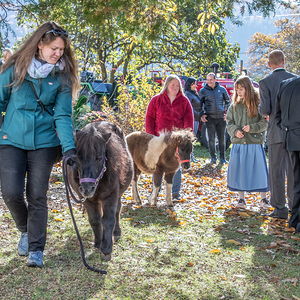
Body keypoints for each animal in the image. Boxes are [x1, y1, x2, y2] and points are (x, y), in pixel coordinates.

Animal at [68, 121, 134, 260]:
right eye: (78, 158)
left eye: (99, 158)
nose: (87, 188)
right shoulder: (87, 200)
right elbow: (95, 220)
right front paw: (98, 243)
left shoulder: (110, 196)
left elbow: (108, 220)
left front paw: (107, 248)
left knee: (117, 211)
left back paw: (116, 232)